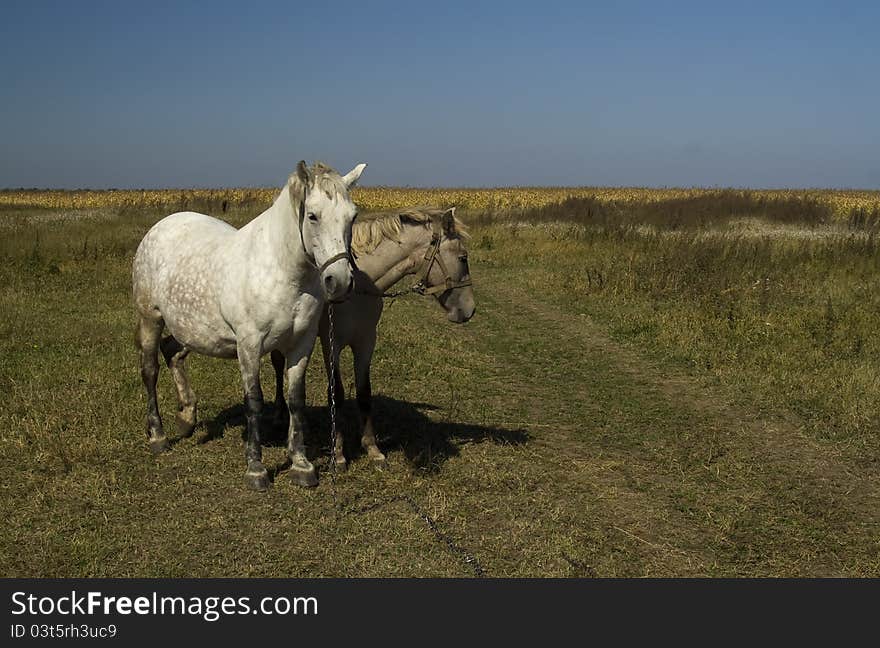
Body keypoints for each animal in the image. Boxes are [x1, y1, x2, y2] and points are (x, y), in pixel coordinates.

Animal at [131, 162, 364, 492]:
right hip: (150, 318)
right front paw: (256, 469)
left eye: (352, 216)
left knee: (172, 352)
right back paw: (158, 436)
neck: (280, 270)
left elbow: (295, 400)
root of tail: (160, 227)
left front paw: (301, 465)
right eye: (312, 215)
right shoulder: (250, 345)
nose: (340, 282)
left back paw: (187, 417)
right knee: (150, 370)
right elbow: (254, 402)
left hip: (189, 328)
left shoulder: (301, 343)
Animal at [270, 206, 478, 466]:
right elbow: (336, 392)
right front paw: (339, 453)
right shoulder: (332, 345)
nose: (470, 310)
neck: (357, 286)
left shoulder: (366, 341)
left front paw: (372, 448)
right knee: (278, 365)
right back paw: (279, 413)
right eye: (463, 258)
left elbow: (364, 393)